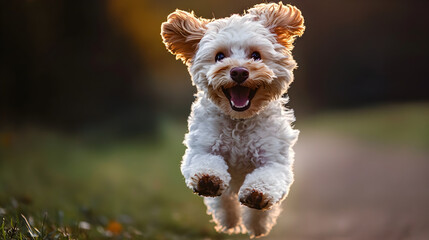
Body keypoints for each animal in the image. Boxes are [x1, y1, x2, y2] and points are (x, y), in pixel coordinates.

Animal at [160, 2, 304, 238]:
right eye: (219, 56)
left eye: (256, 55)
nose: (238, 72)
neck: (240, 120)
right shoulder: (200, 149)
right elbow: (206, 162)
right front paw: (208, 180)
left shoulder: (274, 161)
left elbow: (267, 177)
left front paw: (257, 194)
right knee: (224, 201)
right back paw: (229, 220)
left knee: (258, 212)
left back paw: (257, 226)